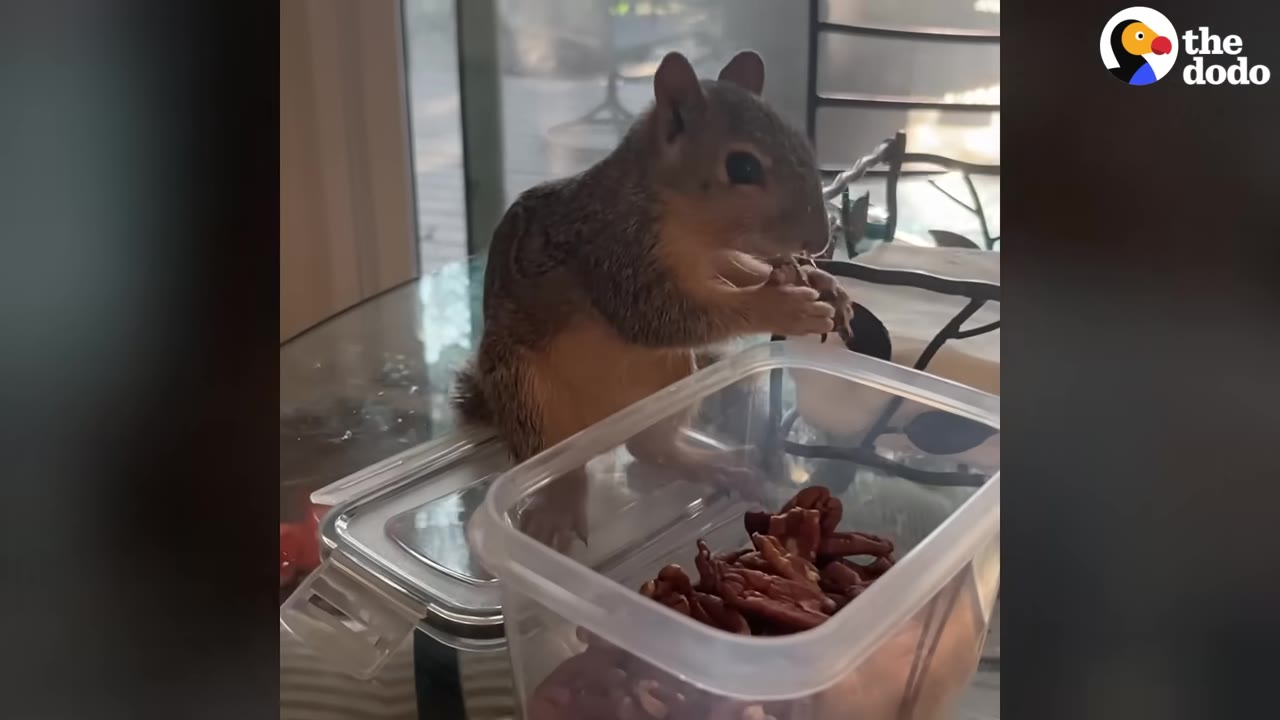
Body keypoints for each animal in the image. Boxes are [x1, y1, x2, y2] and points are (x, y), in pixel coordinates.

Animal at [454, 50, 852, 546]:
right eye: (742, 167)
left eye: (802, 143)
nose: (819, 240)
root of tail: (599, 434)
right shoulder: (617, 254)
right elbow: (660, 316)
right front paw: (785, 306)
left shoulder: (715, 259)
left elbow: (739, 271)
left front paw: (826, 284)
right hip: (526, 392)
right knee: (559, 470)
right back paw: (558, 509)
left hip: (671, 380)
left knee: (646, 448)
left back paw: (713, 465)